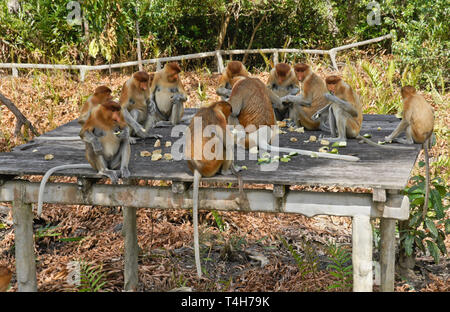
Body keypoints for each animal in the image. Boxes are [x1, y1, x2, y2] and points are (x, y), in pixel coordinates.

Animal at [185, 101, 241, 276]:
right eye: (229, 112)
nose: (231, 119)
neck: (211, 107)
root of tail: (198, 168)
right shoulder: (219, 119)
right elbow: (228, 143)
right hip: (213, 163)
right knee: (220, 143)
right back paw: (226, 171)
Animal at [229, 77, 358, 162]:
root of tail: (261, 136)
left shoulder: (239, 87)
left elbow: (234, 111)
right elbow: (278, 102)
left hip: (245, 138)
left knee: (233, 117)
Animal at [384, 85, 434, 217]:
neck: (413, 95)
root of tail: (424, 139)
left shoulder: (407, 103)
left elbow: (405, 121)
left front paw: (388, 138)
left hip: (416, 134)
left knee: (408, 124)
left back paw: (406, 141)